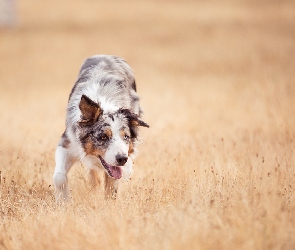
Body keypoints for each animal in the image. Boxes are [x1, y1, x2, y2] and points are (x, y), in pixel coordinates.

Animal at [53, 54, 149, 201]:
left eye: (126, 137)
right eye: (103, 137)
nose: (122, 159)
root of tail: (107, 55)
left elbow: (111, 187)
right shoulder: (67, 143)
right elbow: (59, 177)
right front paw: (64, 201)